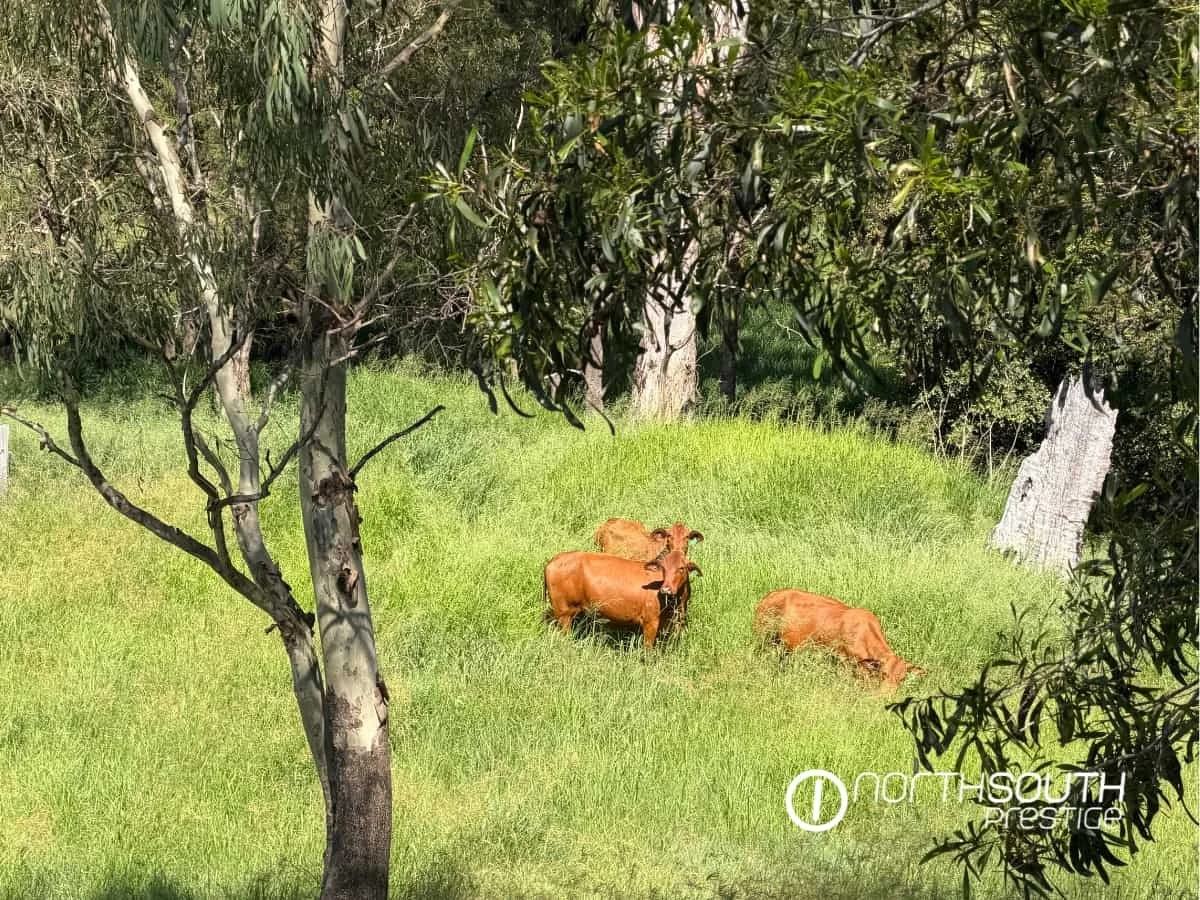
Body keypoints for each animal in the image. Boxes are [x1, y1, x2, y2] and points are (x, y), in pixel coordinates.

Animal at [544, 549, 702, 649]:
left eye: (681, 568)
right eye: (663, 568)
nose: (666, 589)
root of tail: (553, 561)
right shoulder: (650, 622)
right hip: (563, 612)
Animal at [754, 589, 926, 691]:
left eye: (902, 679)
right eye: (884, 674)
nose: (887, 695)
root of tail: (769, 596)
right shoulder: (844, 661)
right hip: (763, 637)